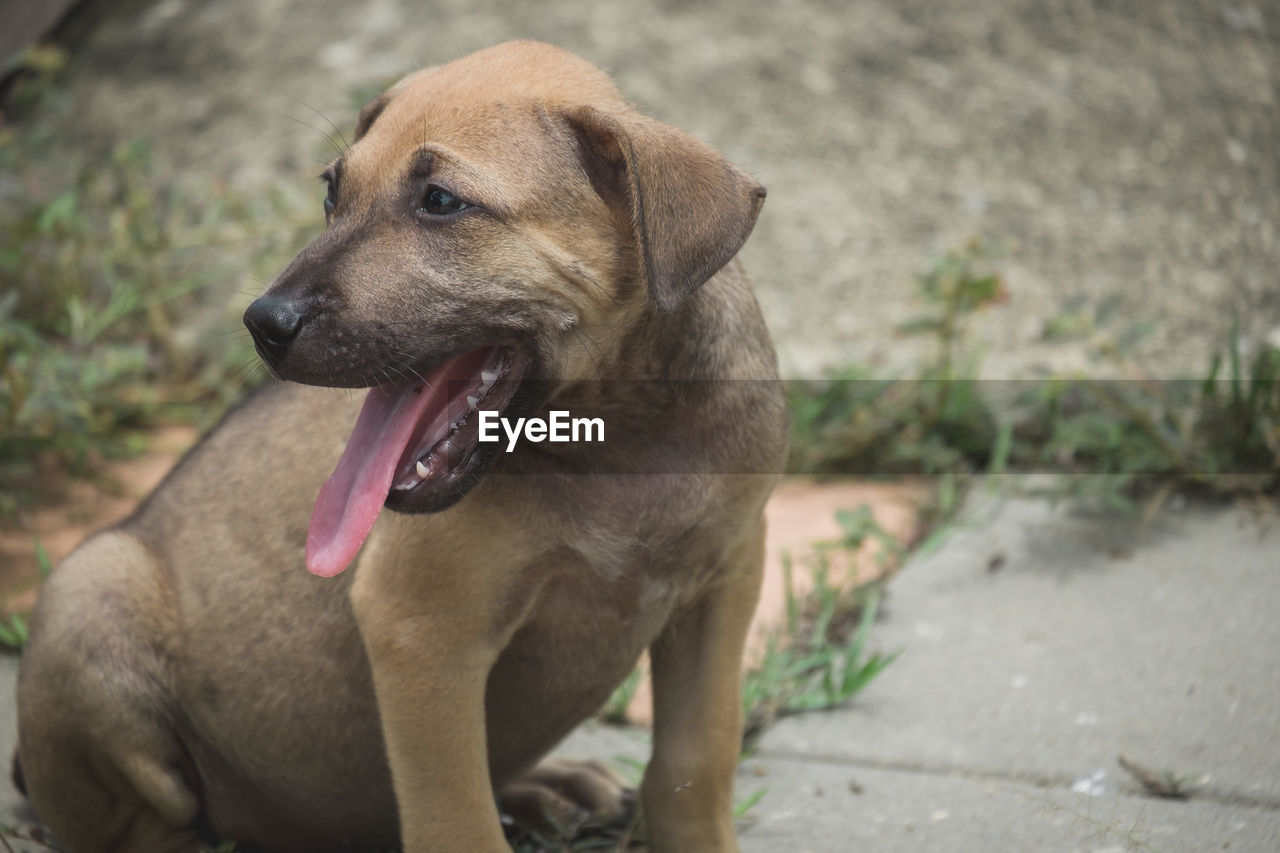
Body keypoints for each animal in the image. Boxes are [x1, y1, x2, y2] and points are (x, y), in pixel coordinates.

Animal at [15, 41, 783, 850]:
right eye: (332, 193)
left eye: (440, 202)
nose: (263, 322)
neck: (613, 438)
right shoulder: (421, 629)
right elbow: (458, 817)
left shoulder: (725, 582)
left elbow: (695, 761)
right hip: (89, 592)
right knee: (143, 822)